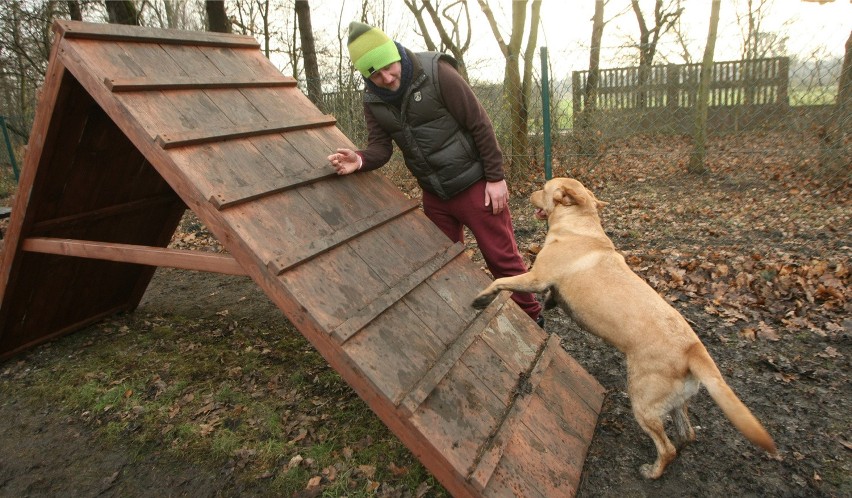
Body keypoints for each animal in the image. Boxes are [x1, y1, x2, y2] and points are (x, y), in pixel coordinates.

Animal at [472, 177, 780, 476]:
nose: (523, 195)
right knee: (686, 433)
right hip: (674, 402)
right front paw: (549, 304)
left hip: (642, 401)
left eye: (544, 188)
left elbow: (501, 281)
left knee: (666, 448)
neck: (580, 226)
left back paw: (651, 472)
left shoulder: (535, 277)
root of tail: (694, 349)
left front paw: (482, 298)